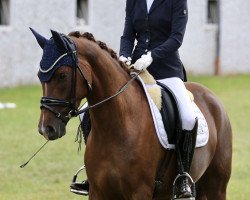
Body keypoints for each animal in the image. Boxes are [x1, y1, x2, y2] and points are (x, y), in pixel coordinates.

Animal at [31, 28, 232, 200]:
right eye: (40, 76)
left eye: (62, 75)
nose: (46, 128)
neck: (117, 126)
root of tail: (210, 96)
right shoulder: (98, 192)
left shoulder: (140, 192)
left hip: (216, 186)